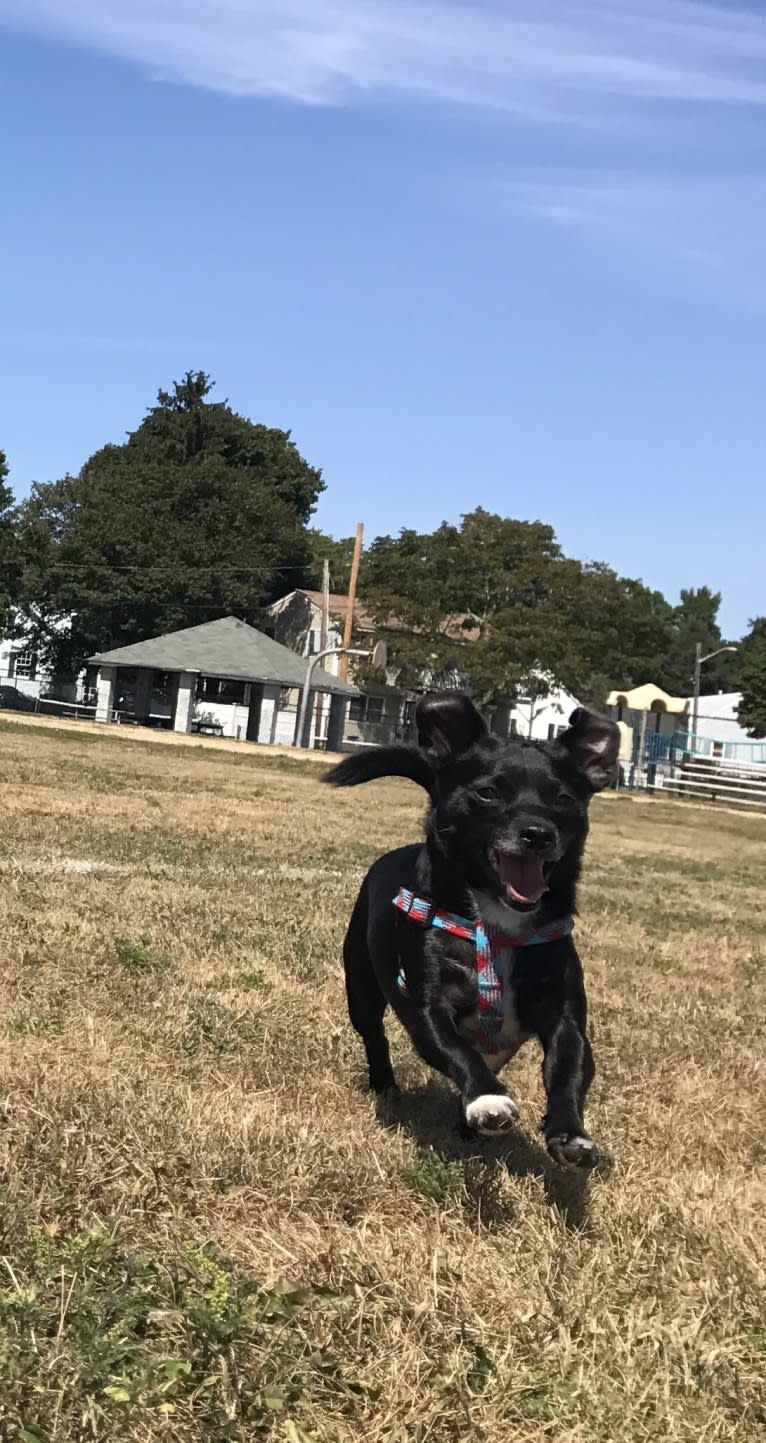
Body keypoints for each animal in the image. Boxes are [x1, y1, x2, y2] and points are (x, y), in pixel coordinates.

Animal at [324, 692, 623, 1165]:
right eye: (487, 792)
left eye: (563, 798)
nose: (537, 833)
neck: (497, 924)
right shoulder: (427, 1005)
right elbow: (456, 1049)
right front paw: (487, 1098)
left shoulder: (561, 1012)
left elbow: (570, 1066)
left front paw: (570, 1133)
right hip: (361, 985)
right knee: (375, 1035)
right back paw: (387, 1086)